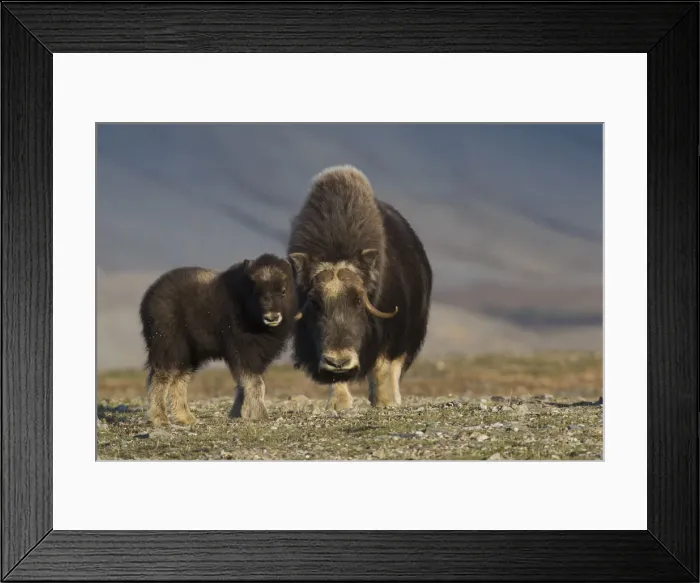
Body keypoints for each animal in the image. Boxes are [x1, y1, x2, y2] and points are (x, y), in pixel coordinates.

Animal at [139, 253, 301, 426]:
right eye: (257, 291)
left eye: (283, 290)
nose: (272, 317)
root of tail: (151, 293)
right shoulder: (243, 351)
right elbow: (255, 382)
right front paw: (260, 415)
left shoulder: (256, 356)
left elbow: (244, 384)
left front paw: (240, 413)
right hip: (168, 346)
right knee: (160, 377)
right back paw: (160, 418)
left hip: (189, 356)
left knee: (179, 381)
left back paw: (186, 418)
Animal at [287, 165, 432, 410]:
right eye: (315, 304)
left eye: (357, 301)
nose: (339, 361)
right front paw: (339, 403)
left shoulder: (390, 330)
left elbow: (382, 366)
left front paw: (385, 401)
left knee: (394, 366)